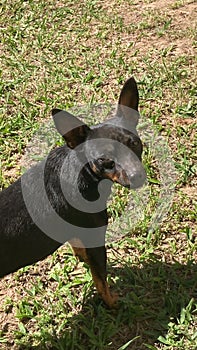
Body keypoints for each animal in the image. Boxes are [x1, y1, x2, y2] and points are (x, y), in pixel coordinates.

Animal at [0, 78, 145, 308]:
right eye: (105, 160)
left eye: (135, 144)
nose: (137, 176)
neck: (83, 172)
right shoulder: (96, 240)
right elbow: (101, 281)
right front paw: (113, 302)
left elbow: (80, 250)